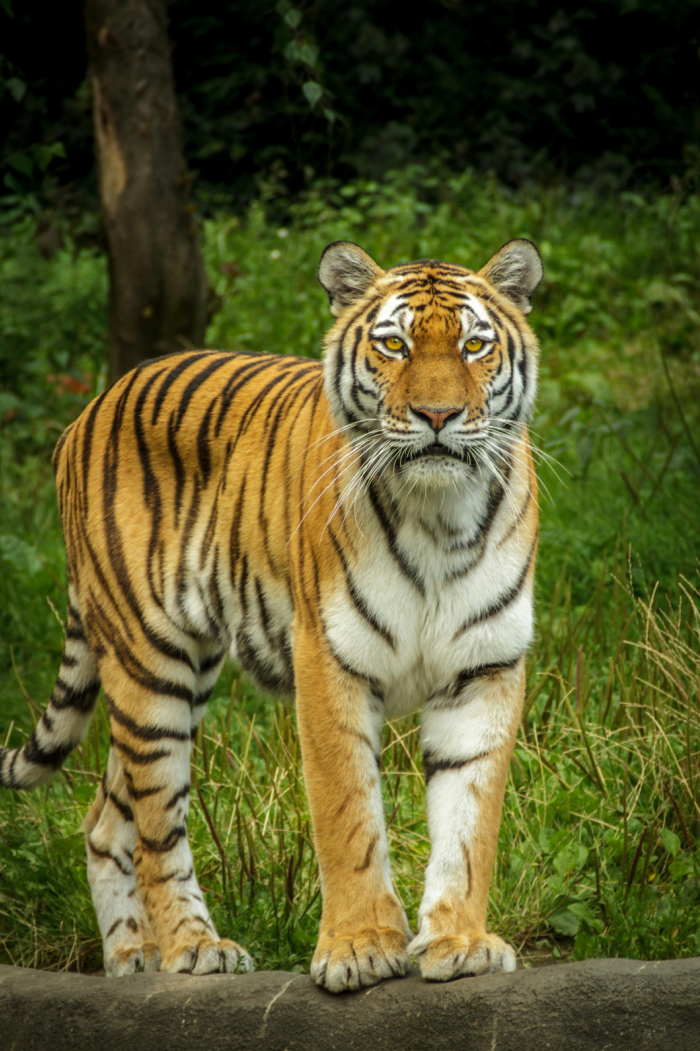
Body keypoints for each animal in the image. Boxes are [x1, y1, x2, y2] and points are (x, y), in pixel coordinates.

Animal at [0, 237, 542, 991]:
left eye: (473, 345)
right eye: (395, 344)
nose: (438, 416)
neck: (439, 516)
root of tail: (89, 409)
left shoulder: (484, 667)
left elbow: (471, 820)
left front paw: (460, 941)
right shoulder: (330, 657)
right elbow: (347, 813)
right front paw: (360, 947)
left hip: (173, 672)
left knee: (108, 817)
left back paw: (131, 958)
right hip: (150, 661)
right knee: (156, 824)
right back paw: (193, 948)